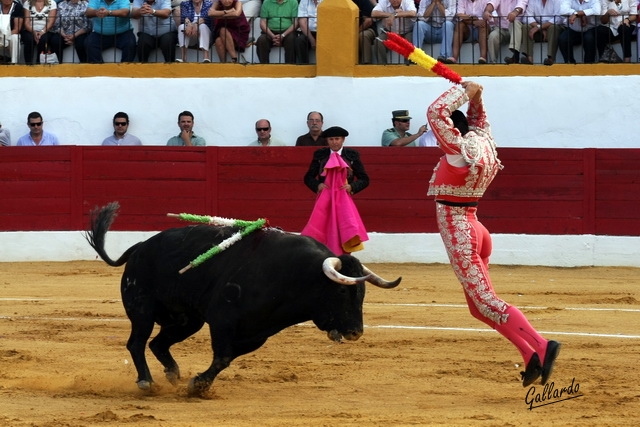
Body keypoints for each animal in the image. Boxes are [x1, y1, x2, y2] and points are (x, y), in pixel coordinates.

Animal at [85, 204, 400, 398]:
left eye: (362, 293)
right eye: (341, 292)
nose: (356, 332)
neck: (293, 276)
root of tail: (139, 248)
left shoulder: (256, 333)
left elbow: (226, 359)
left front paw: (197, 383)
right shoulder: (223, 320)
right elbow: (223, 356)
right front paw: (198, 385)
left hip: (187, 320)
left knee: (158, 343)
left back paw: (172, 374)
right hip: (142, 309)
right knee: (137, 343)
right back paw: (146, 381)